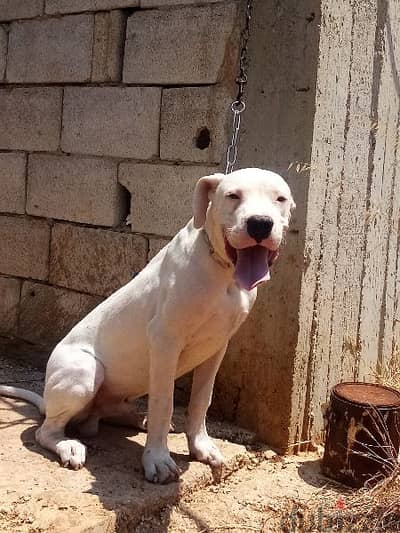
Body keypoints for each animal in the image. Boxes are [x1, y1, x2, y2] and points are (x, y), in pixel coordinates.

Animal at [0, 168, 294, 484]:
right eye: (233, 195)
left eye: (280, 198)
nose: (260, 224)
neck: (220, 268)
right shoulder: (165, 341)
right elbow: (163, 403)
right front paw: (158, 459)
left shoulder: (216, 346)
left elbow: (201, 400)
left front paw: (200, 447)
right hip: (84, 372)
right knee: (47, 430)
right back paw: (68, 445)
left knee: (104, 414)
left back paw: (134, 418)